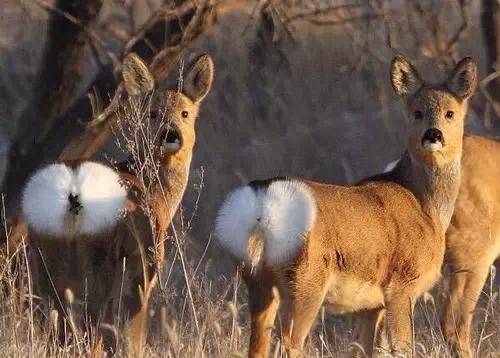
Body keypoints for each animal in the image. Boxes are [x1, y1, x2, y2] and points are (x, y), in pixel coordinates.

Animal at [19, 51, 214, 356]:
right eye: (152, 113)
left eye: (185, 113)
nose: (170, 134)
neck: (155, 196)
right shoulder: (142, 270)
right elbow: (130, 337)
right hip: (99, 262)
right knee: (89, 330)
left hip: (44, 261)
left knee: (56, 329)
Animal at [214, 54, 476, 356]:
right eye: (417, 112)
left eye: (450, 113)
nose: (433, 135)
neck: (426, 207)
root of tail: (261, 202)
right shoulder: (402, 284)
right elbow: (402, 347)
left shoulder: (370, 305)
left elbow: (363, 348)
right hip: (306, 279)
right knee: (290, 341)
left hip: (257, 279)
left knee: (258, 342)